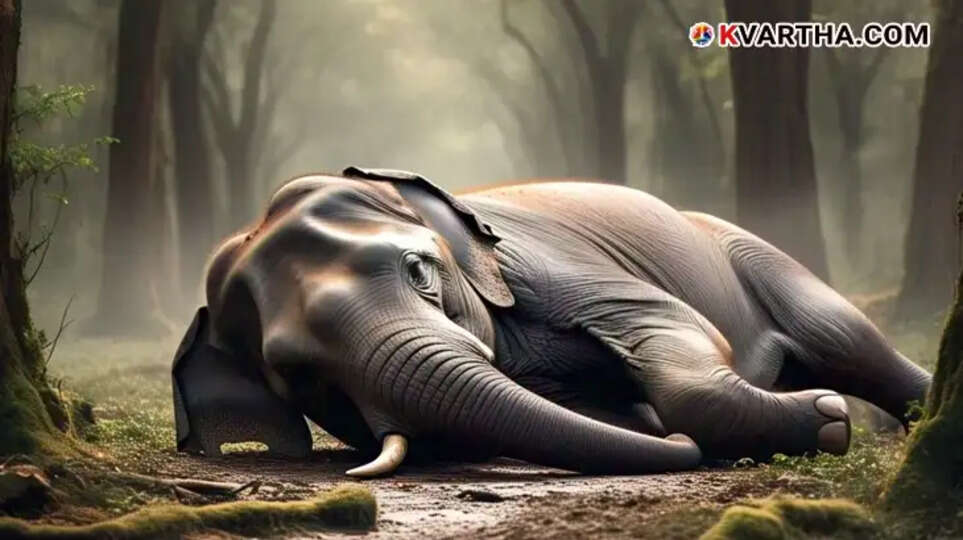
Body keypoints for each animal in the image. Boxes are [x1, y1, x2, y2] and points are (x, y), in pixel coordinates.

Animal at [171, 166, 931, 478]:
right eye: (303, 379)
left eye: (419, 271)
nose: (674, 443)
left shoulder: (537, 260)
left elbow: (671, 323)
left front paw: (827, 416)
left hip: (746, 248)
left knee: (847, 340)